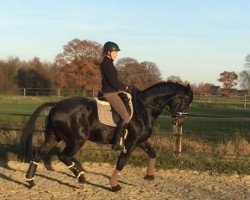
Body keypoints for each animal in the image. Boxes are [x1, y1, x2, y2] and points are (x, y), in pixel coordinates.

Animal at [18, 81, 193, 191]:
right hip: (76, 140)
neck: (144, 109)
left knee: (39, 153)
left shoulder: (141, 141)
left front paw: (150, 176)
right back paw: (82, 179)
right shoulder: (131, 143)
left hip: (54, 137)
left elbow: (152, 153)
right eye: (185, 101)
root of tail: (55, 105)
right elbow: (121, 163)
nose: (181, 121)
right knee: (63, 156)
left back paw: (31, 182)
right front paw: (115, 186)